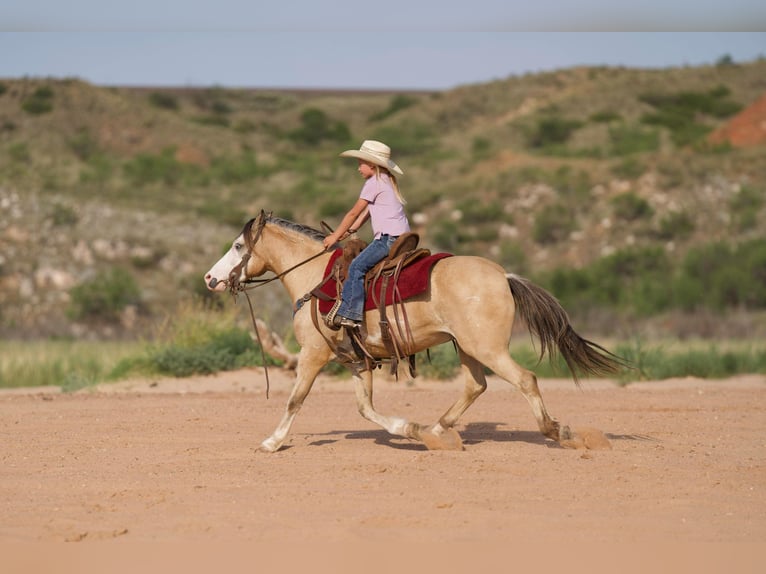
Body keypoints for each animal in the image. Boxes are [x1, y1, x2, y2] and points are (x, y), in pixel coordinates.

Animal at [204, 210, 624, 452]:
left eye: (238, 245)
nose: (210, 278)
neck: (315, 278)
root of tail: (504, 276)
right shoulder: (356, 361)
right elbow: (366, 409)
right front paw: (410, 428)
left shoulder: (312, 355)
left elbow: (295, 400)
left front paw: (271, 442)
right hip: (467, 348)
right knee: (475, 386)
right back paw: (436, 432)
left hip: (487, 348)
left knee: (526, 380)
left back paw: (559, 433)